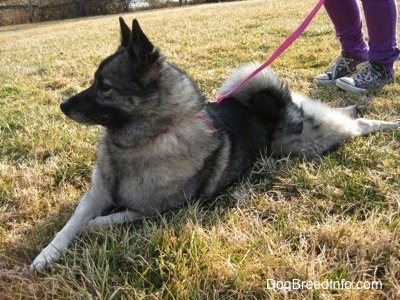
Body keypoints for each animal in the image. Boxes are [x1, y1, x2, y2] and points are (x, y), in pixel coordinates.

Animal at [29, 17, 398, 270]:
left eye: (104, 86)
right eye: (94, 81)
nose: (62, 106)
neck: (142, 142)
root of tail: (275, 104)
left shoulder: (161, 211)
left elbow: (99, 222)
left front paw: (90, 230)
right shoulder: (95, 196)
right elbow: (69, 226)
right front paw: (46, 255)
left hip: (305, 142)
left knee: (357, 124)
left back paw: (387, 122)